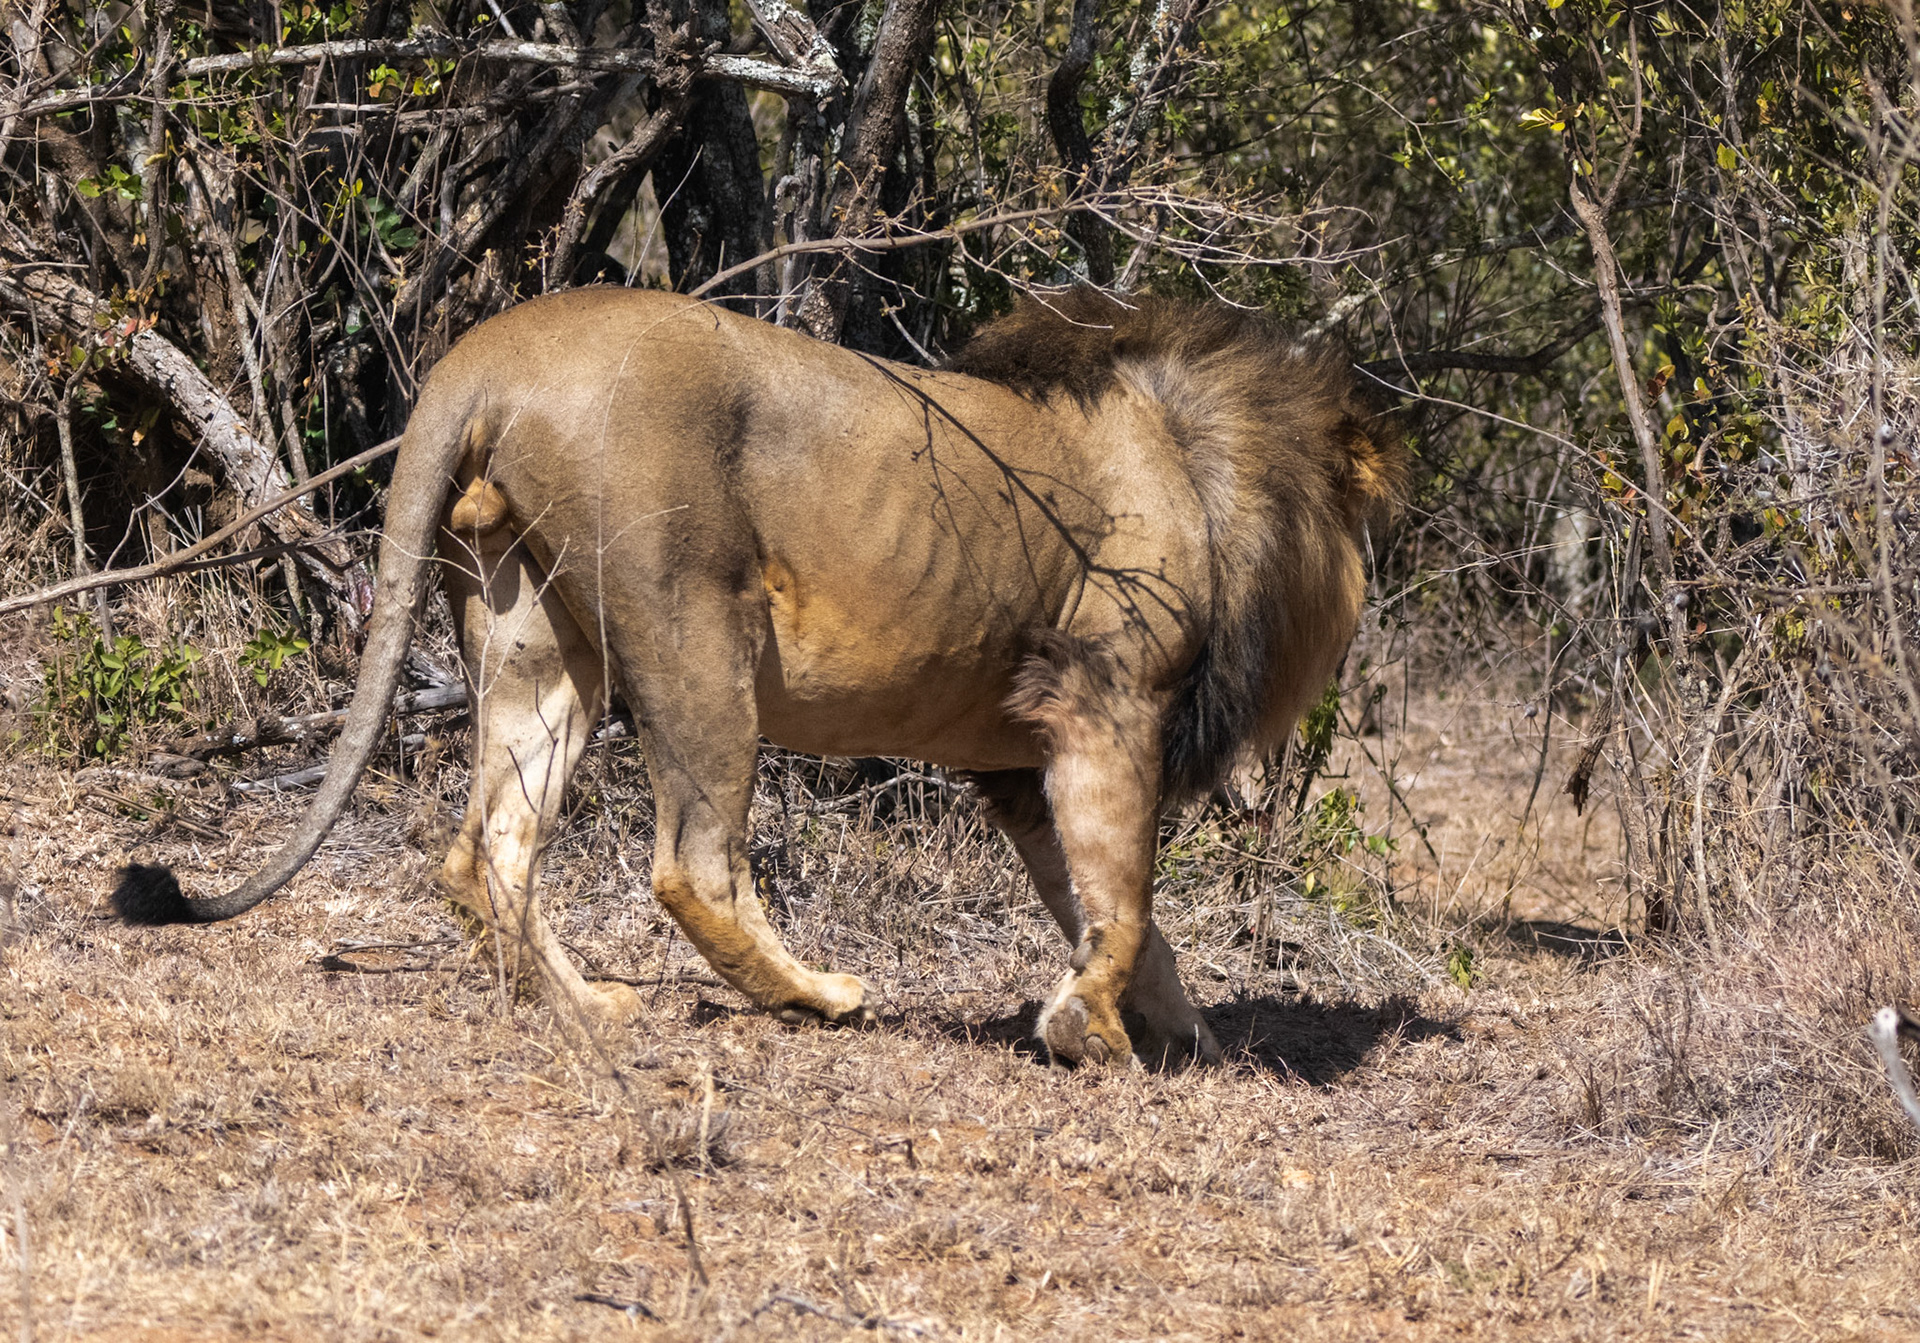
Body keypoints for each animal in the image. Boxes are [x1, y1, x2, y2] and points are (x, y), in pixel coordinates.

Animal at [113, 286, 1404, 1068]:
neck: (1202, 465)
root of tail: (487, 353)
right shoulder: (1104, 702)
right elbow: (1126, 902)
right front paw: (1095, 1032)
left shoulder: (1019, 761)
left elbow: (1113, 909)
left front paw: (1176, 1031)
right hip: (698, 635)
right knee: (690, 864)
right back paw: (816, 994)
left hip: (537, 639)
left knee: (488, 848)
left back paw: (587, 1007)